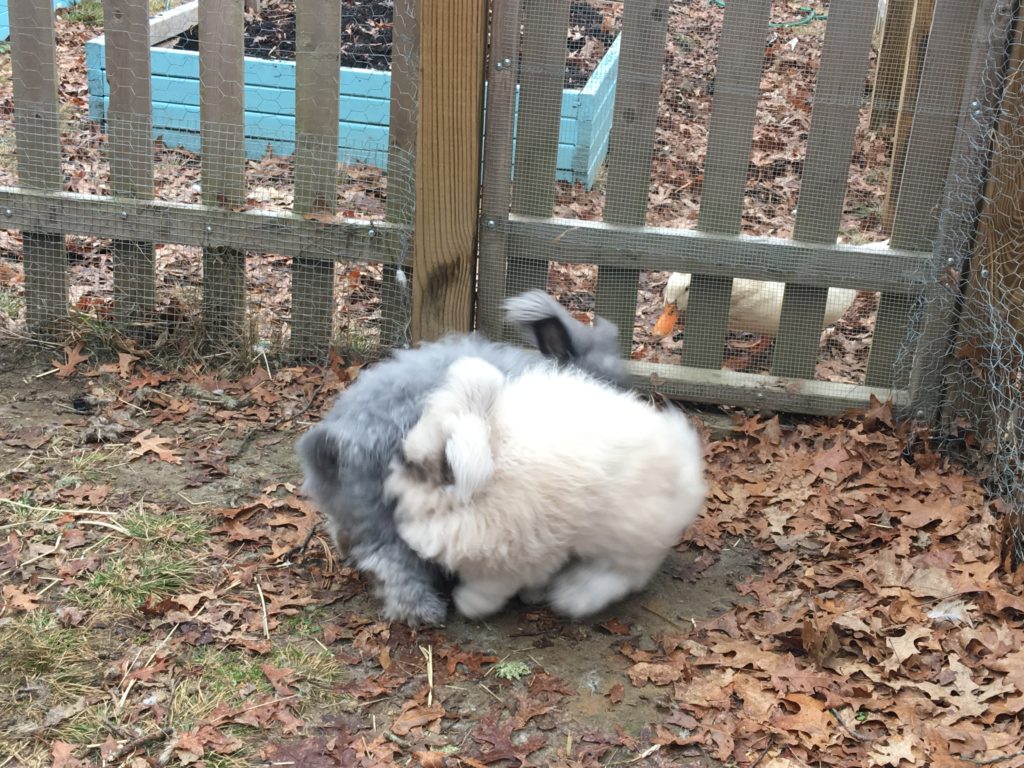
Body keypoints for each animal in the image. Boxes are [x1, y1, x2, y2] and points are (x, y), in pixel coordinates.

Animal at [383, 355, 707, 621]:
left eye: (416, 467)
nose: (390, 482)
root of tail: (686, 470)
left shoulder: (511, 558)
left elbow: (490, 588)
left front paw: (469, 604)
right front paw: (533, 594)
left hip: (623, 536)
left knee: (626, 573)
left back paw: (574, 596)